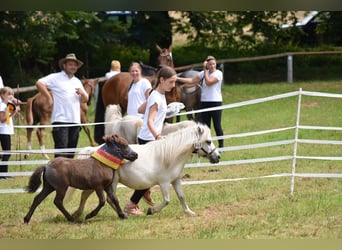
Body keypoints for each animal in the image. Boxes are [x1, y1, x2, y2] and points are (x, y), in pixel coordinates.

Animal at [73, 122, 220, 217]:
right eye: (208, 141)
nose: (217, 157)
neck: (170, 156)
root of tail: (94, 150)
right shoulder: (164, 183)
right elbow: (167, 200)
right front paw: (151, 211)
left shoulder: (176, 181)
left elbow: (181, 197)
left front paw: (190, 212)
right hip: (111, 182)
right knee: (110, 199)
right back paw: (122, 214)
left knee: (85, 195)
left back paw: (77, 214)